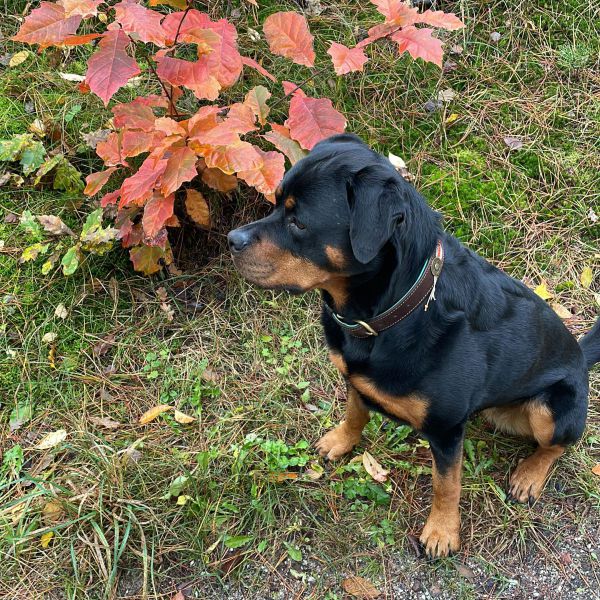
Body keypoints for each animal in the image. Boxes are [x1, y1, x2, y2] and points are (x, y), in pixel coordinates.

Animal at [227, 135, 596, 556]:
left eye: (299, 221)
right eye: (275, 203)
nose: (231, 240)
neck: (387, 312)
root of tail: (582, 357)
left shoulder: (447, 430)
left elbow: (446, 483)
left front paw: (441, 531)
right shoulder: (355, 380)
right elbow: (355, 413)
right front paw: (340, 441)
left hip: (551, 407)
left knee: (558, 444)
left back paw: (530, 474)